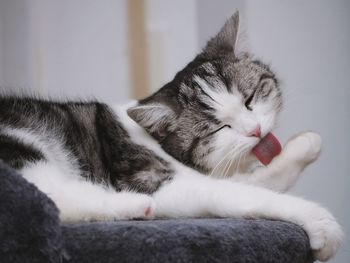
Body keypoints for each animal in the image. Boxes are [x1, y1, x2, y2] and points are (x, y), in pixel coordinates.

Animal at [0, 11, 342, 262]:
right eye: (219, 128)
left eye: (250, 99)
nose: (255, 130)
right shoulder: (160, 180)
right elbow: (241, 194)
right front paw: (320, 222)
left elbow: (255, 181)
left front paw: (305, 146)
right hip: (22, 141)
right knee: (51, 198)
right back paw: (134, 205)